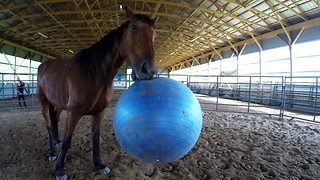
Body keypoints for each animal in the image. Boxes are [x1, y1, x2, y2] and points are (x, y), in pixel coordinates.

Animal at [37, 4, 157, 179]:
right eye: (134, 27)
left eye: (155, 35)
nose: (148, 70)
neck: (93, 73)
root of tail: (43, 65)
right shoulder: (73, 113)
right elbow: (67, 141)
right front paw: (60, 170)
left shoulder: (99, 112)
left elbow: (95, 138)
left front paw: (99, 164)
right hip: (44, 102)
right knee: (49, 126)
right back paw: (52, 154)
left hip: (58, 104)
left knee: (55, 120)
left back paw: (56, 144)